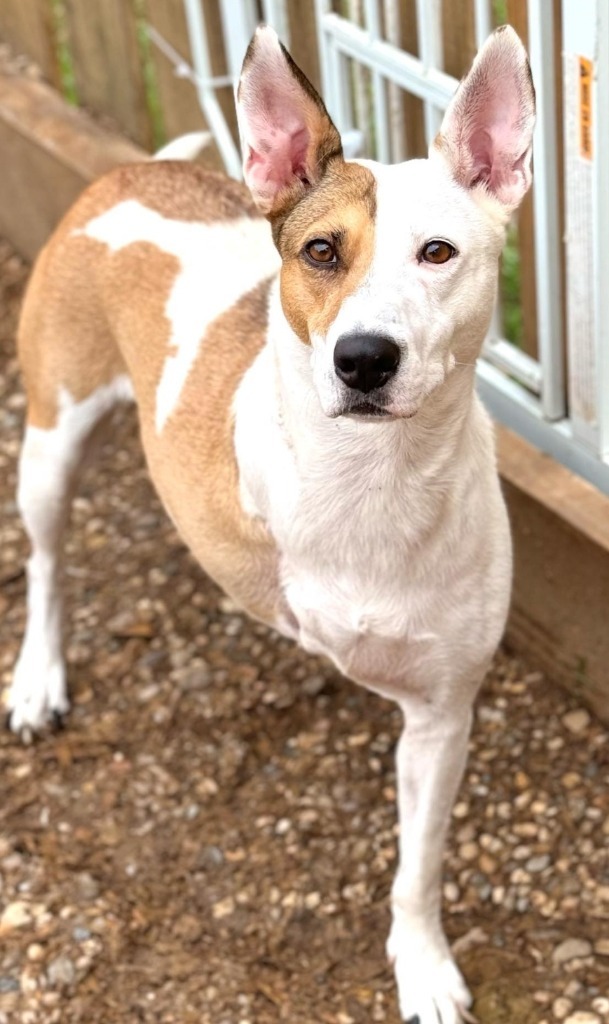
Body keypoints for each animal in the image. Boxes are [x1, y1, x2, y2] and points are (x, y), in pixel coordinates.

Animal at [8, 22, 532, 1024]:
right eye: (321, 251)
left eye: (438, 253)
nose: (363, 358)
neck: (369, 478)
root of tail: (128, 172)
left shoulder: (441, 716)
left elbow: (417, 869)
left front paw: (422, 966)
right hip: (49, 439)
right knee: (49, 564)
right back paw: (37, 680)